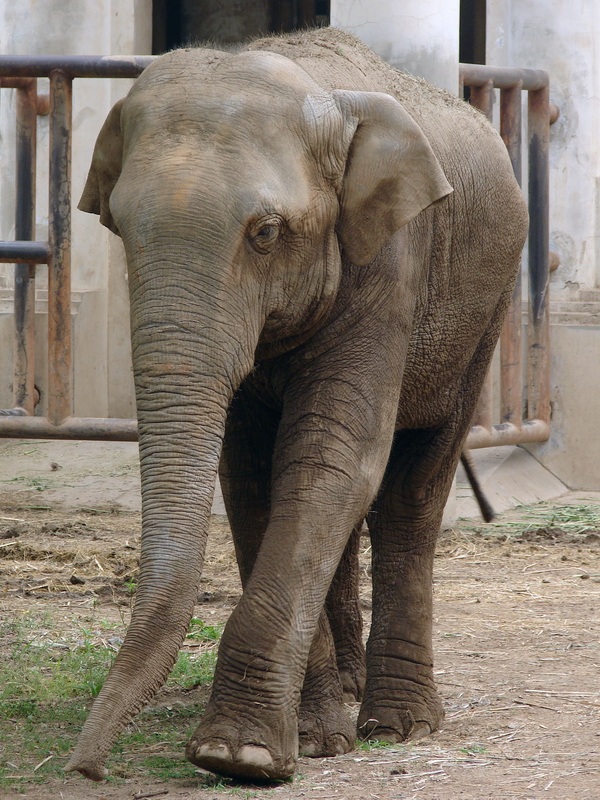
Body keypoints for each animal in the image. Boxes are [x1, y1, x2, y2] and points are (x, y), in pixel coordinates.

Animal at [66, 27, 528, 782]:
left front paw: (240, 756)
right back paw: (348, 692)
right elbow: (254, 477)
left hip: (484, 310)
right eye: (120, 228)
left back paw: (399, 724)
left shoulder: (391, 262)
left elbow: (330, 461)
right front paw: (303, 743)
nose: (87, 768)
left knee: (416, 483)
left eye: (265, 233)